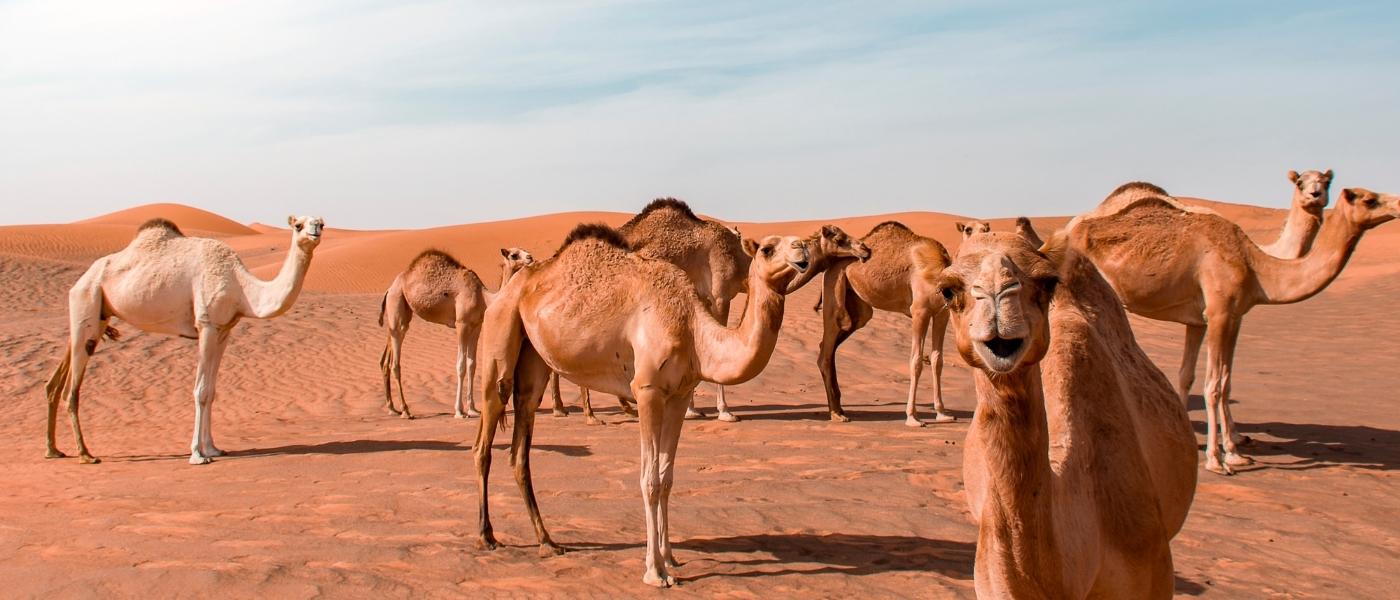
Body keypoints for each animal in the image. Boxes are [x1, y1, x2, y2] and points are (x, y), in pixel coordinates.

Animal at [45, 216, 324, 465]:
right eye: (298, 225)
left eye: (321, 222)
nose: (315, 230)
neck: (240, 288)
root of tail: (80, 281)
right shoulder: (206, 324)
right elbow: (200, 391)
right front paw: (197, 454)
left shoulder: (224, 330)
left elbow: (211, 391)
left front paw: (213, 448)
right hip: (87, 299)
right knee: (72, 389)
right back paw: (85, 454)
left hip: (96, 314)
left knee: (59, 374)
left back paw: (53, 450)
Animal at [378, 247, 535, 419]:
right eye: (514, 255)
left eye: (524, 250)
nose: (530, 257)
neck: (484, 298)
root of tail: (389, 289)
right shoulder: (462, 324)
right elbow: (461, 365)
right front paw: (459, 411)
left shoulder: (476, 326)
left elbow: (472, 365)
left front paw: (473, 409)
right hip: (397, 302)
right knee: (395, 363)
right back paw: (406, 411)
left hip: (402, 313)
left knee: (388, 356)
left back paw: (393, 408)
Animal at [472, 223, 812, 587]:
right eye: (766, 249)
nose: (802, 247)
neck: (693, 331)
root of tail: (506, 290)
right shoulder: (647, 390)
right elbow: (649, 480)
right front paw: (655, 571)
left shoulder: (678, 395)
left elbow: (666, 478)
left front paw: (671, 558)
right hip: (499, 336)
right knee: (484, 438)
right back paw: (486, 536)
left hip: (533, 362)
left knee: (520, 445)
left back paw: (547, 541)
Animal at [812, 221, 956, 426]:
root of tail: (829, 267)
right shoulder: (920, 311)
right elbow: (916, 361)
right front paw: (912, 417)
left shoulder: (942, 313)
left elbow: (937, 360)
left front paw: (942, 413)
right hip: (833, 289)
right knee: (826, 350)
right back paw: (836, 414)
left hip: (859, 309)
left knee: (829, 346)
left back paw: (839, 409)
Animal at [1067, 183, 1400, 474]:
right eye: (1369, 199)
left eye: (1326, 181)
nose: (1398, 203)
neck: (1257, 266)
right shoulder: (1219, 312)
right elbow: (1213, 386)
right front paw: (1216, 460)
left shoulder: (1220, 318)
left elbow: (1216, 380)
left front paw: (1232, 452)